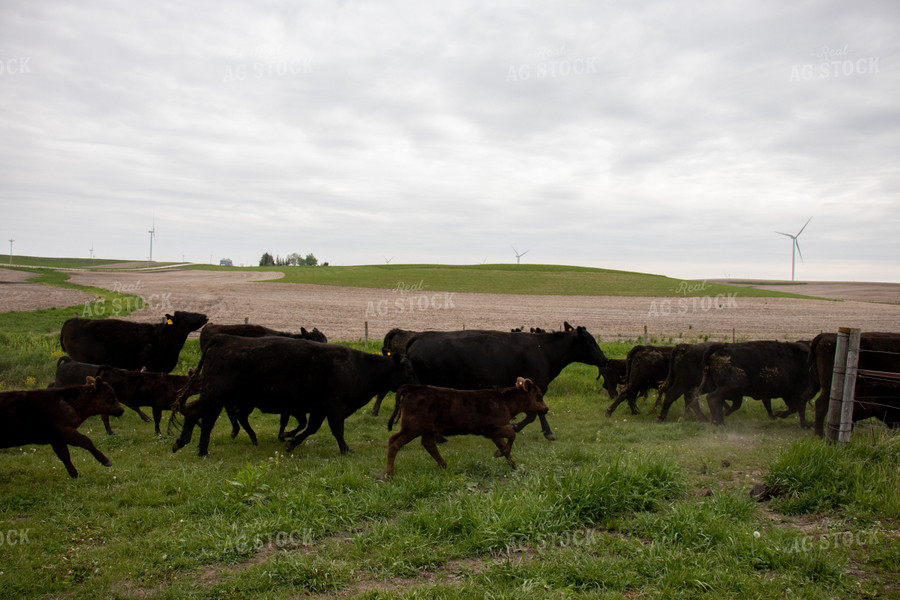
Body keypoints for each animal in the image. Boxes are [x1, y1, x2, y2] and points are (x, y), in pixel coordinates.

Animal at [51, 358, 200, 434]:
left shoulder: (174, 405)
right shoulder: (157, 405)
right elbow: (157, 420)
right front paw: (158, 433)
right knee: (105, 417)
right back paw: (110, 432)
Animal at [174, 336, 420, 458]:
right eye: (408, 371)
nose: (418, 386)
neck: (361, 368)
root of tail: (223, 341)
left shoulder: (320, 409)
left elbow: (311, 428)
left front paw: (291, 443)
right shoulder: (335, 408)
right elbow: (337, 431)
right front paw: (346, 449)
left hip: (221, 397)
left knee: (204, 416)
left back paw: (201, 447)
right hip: (217, 395)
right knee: (200, 414)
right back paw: (189, 444)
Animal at [402, 324, 608, 440]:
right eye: (591, 342)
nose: (605, 359)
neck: (544, 351)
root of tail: (419, 336)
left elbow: (538, 413)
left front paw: (546, 432)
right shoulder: (536, 385)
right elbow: (533, 414)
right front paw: (518, 427)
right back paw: (438, 437)